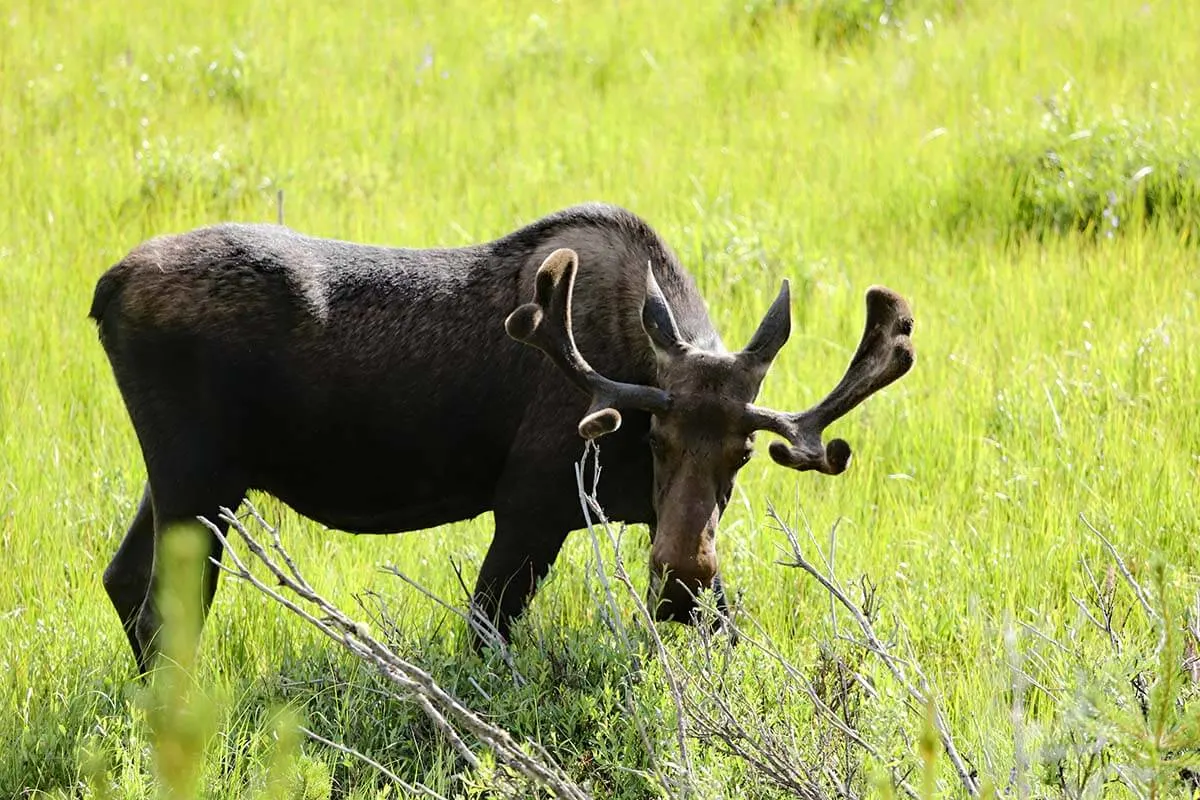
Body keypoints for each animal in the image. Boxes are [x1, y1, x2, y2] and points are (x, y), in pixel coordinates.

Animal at [91, 203, 916, 671]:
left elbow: (734, 630)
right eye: (655, 438)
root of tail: (105, 288)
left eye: (742, 455)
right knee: (166, 601)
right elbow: (485, 633)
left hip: (192, 478)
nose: (681, 581)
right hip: (198, 481)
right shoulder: (528, 507)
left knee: (125, 581)